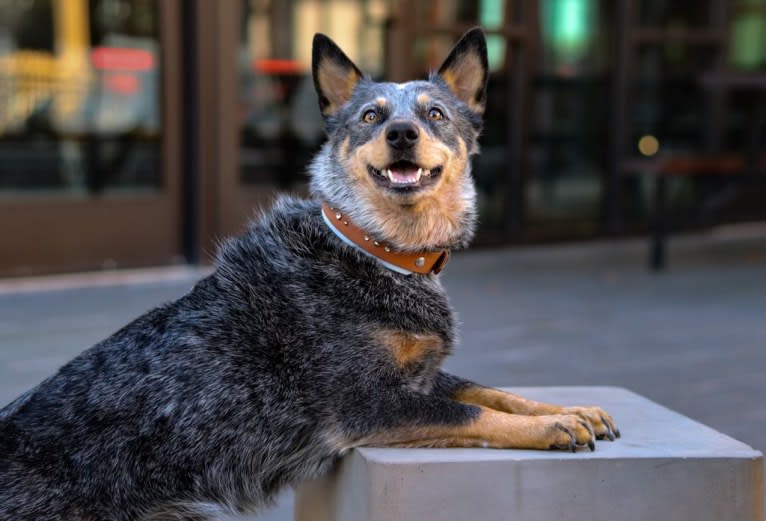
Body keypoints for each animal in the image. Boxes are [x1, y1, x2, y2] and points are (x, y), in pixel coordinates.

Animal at [0, 29, 620, 520]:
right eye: (371, 116)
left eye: (435, 114)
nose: (401, 132)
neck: (377, 249)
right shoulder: (368, 404)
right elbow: (471, 411)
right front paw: (553, 428)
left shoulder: (417, 374)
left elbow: (491, 389)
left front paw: (572, 409)